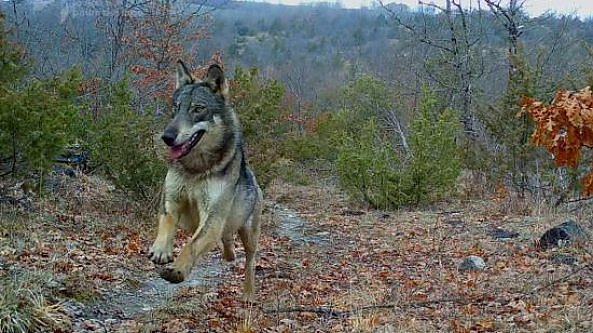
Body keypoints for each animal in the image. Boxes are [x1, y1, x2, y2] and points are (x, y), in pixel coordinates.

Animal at [148, 59, 262, 296]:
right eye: (176, 108)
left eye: (198, 109)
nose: (166, 137)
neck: (196, 169)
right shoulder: (172, 200)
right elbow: (167, 223)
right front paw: (161, 251)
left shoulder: (212, 215)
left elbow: (191, 246)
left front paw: (177, 270)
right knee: (226, 242)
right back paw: (229, 254)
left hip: (248, 234)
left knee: (250, 259)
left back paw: (248, 292)